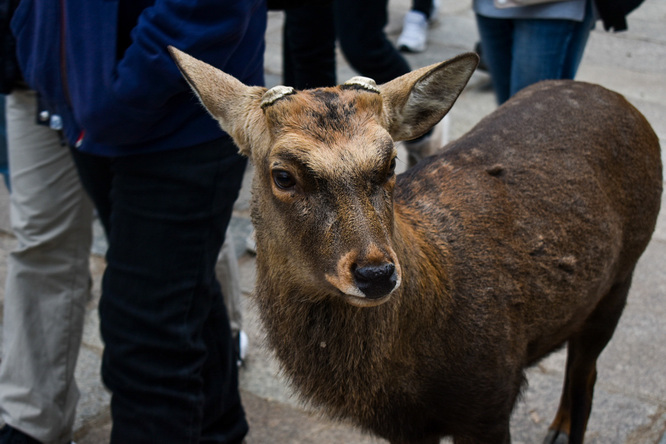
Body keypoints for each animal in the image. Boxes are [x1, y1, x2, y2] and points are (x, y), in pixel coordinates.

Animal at [167, 48, 660, 444]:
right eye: (283, 175)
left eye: (390, 162)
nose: (376, 274)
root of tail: (621, 102)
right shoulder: (404, 427)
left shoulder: (492, 394)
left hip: (624, 273)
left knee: (585, 372)